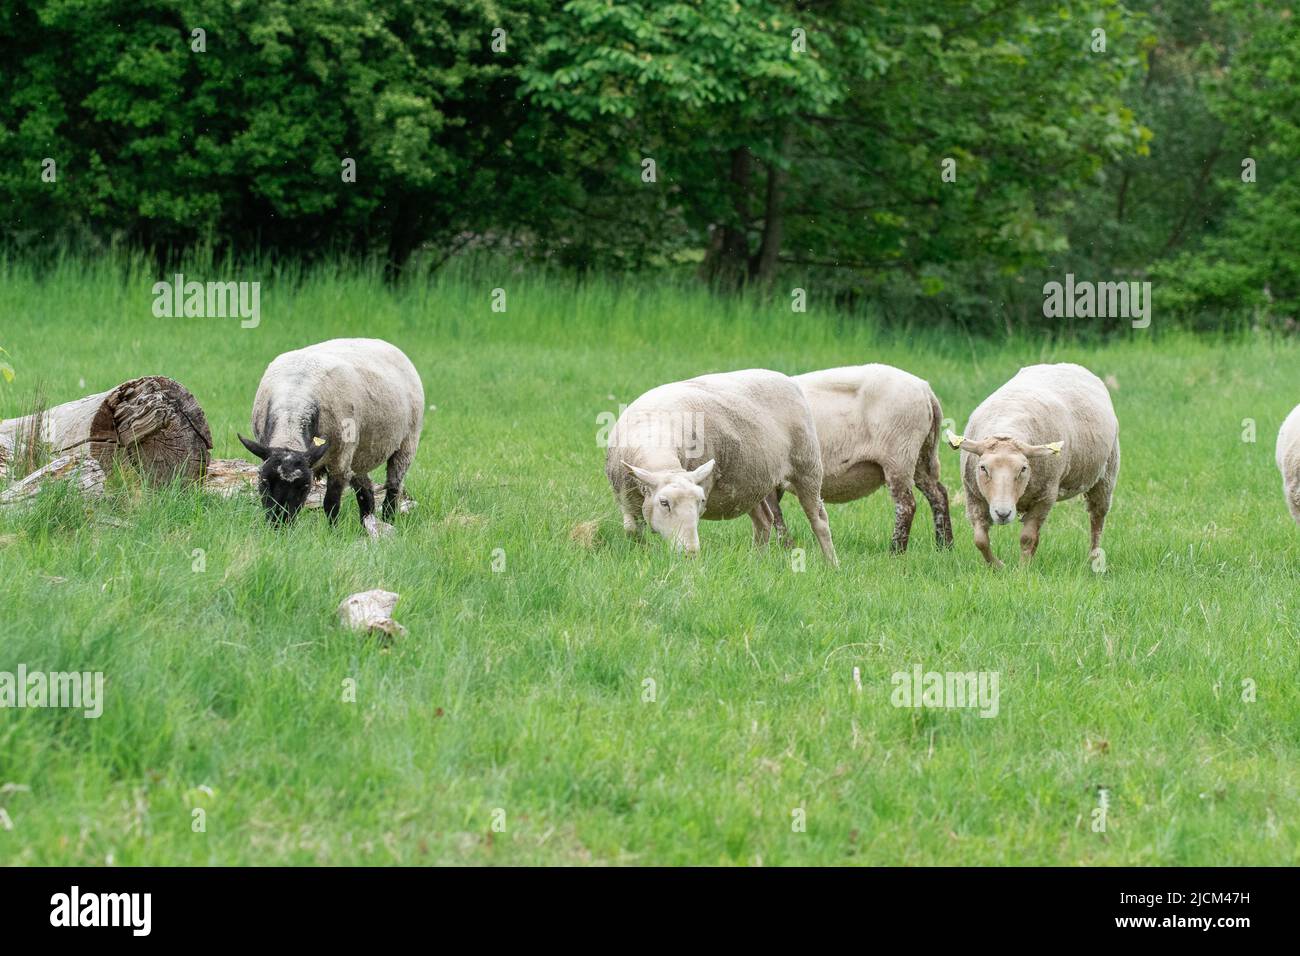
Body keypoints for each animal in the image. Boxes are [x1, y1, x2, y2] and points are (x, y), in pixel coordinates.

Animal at [238, 338, 424, 527]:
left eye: (305, 487)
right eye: (263, 482)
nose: (280, 524)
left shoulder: (339, 460)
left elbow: (331, 503)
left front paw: (332, 530)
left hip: (407, 441)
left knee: (394, 486)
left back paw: (388, 520)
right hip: (358, 454)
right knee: (366, 491)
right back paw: (368, 524)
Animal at [605, 368, 837, 563]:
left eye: (701, 501)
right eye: (664, 503)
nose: (690, 552)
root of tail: (783, 377)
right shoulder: (626, 501)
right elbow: (631, 531)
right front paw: (641, 556)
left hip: (807, 466)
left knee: (819, 520)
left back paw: (831, 564)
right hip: (750, 482)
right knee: (764, 520)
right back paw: (756, 563)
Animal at [764, 364, 953, 553]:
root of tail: (925, 389)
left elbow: (774, 513)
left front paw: (785, 547)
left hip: (899, 454)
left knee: (907, 505)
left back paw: (896, 551)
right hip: (920, 456)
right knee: (938, 495)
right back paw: (945, 546)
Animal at [947, 363, 1119, 568]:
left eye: (1023, 468)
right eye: (983, 468)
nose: (1003, 513)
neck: (1007, 425)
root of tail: (1065, 365)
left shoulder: (1045, 498)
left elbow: (1027, 538)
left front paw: (1022, 570)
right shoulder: (973, 497)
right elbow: (980, 540)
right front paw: (998, 566)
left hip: (1107, 474)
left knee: (1097, 518)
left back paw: (1094, 559)